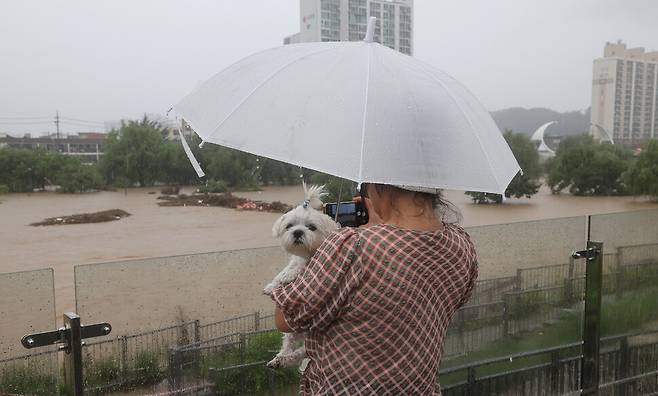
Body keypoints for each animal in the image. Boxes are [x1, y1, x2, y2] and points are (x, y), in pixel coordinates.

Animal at [262, 184, 338, 370]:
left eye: (311, 227)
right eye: (289, 225)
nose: (297, 232)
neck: (305, 255)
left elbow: (297, 270)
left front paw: (287, 277)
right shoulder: (295, 260)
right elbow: (285, 271)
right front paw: (272, 285)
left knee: (300, 353)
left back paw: (286, 358)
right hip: (293, 333)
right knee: (288, 345)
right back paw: (279, 359)